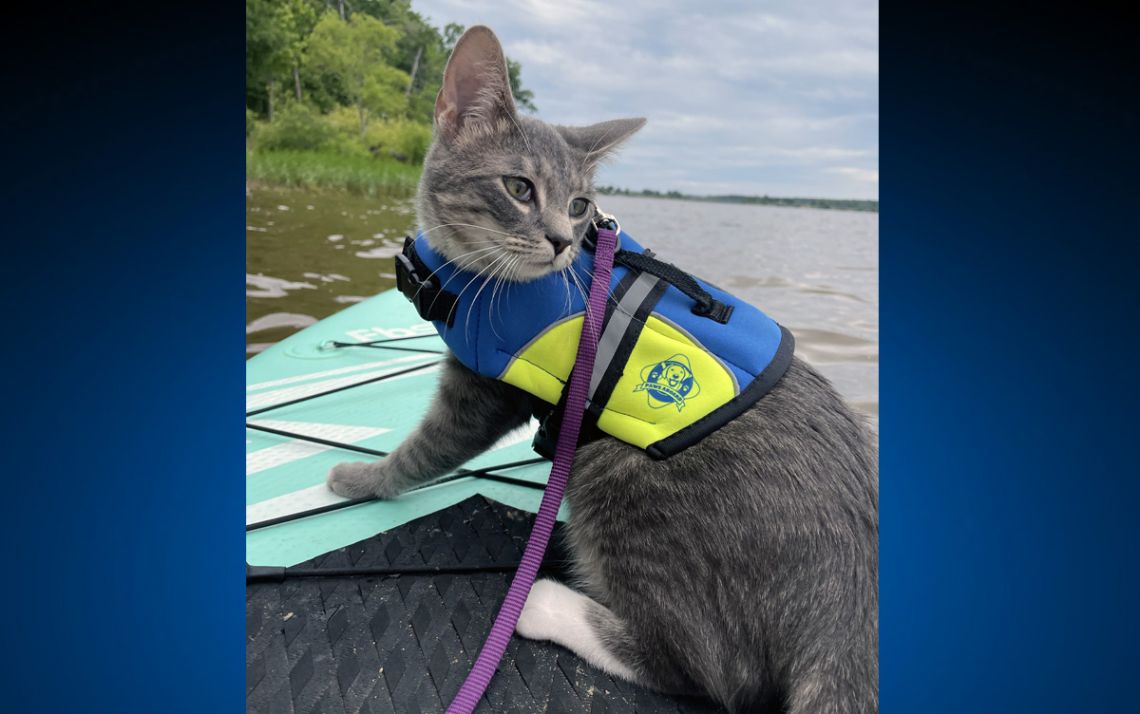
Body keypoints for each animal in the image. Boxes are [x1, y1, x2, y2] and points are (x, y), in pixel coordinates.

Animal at [326, 25, 875, 707]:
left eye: (580, 203)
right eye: (519, 188)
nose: (563, 239)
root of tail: (847, 611)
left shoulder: (482, 385)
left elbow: (429, 447)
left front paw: (362, 479)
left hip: (614, 473)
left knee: (707, 670)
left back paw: (544, 605)